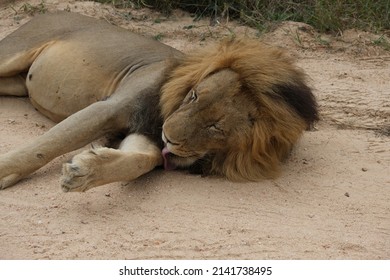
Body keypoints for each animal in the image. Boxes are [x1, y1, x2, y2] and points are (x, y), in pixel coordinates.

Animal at [0, 12, 316, 192]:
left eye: (215, 127)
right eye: (194, 95)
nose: (169, 136)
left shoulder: (145, 136)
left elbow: (141, 160)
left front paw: (85, 171)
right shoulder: (107, 108)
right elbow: (46, 146)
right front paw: (5, 170)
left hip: (16, 84)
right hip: (13, 53)